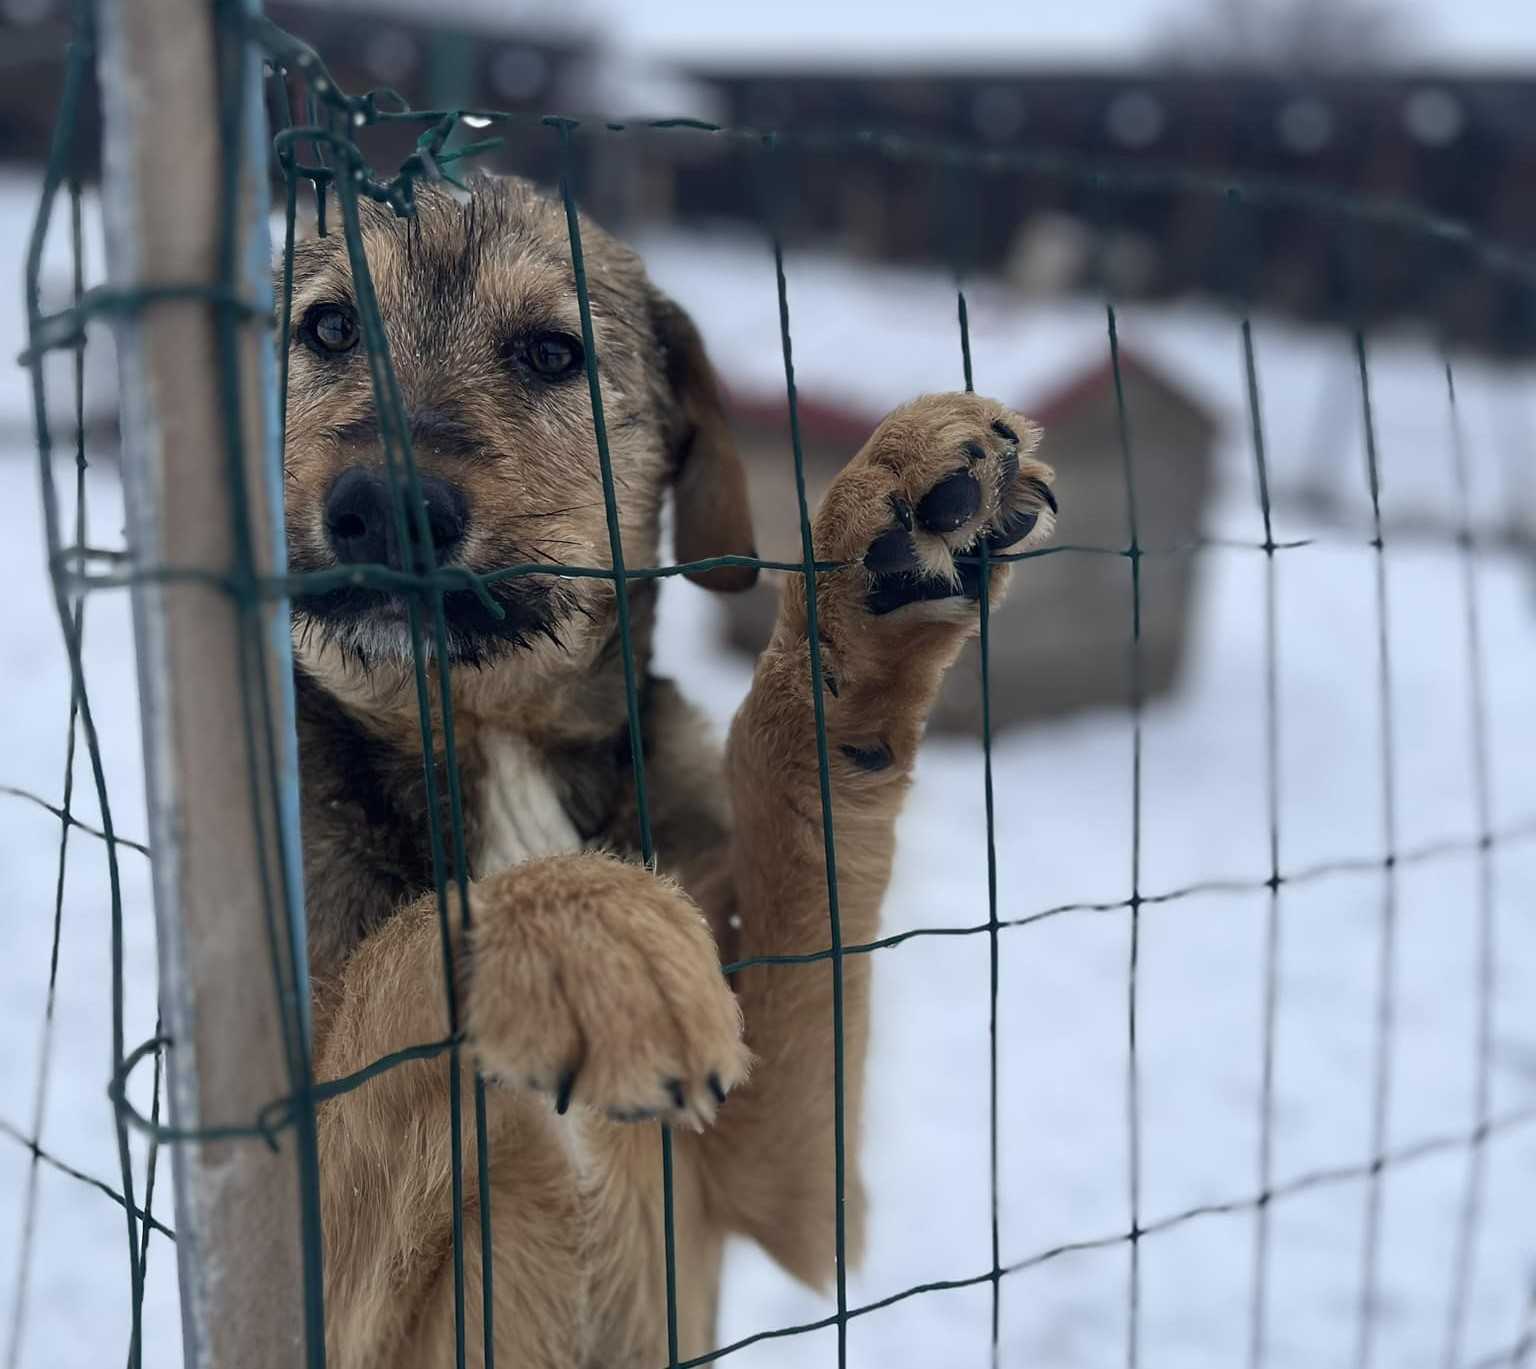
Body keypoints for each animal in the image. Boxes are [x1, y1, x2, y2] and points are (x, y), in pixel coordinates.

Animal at [282, 176, 1056, 1364]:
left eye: (551, 352)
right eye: (327, 329)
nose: (380, 506)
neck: (494, 733)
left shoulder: (796, 1187)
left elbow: (800, 830)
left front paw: (874, 562)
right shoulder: (278, 1260)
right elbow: (402, 958)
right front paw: (589, 932)